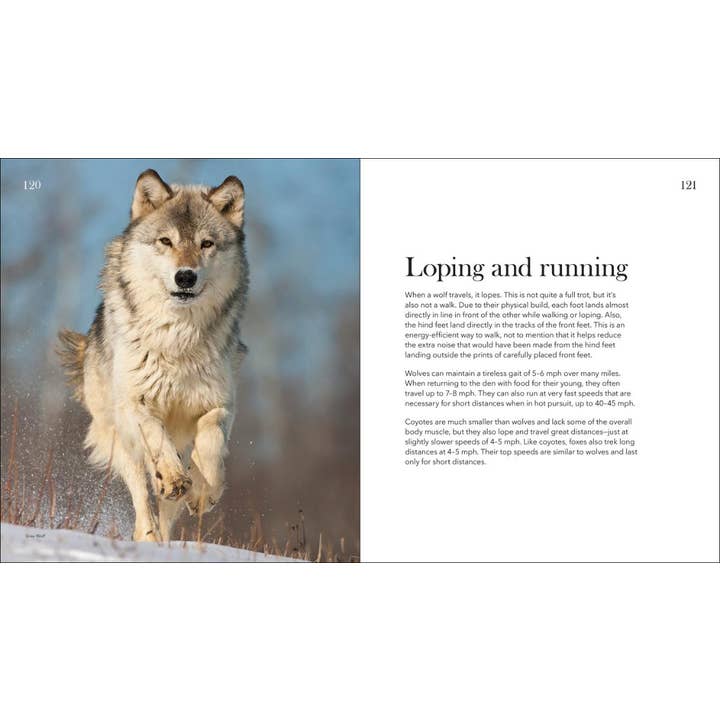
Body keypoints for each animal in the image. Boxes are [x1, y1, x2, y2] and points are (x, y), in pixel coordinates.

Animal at [57, 169, 249, 541]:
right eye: (166, 241)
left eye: (206, 244)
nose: (185, 276)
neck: (177, 339)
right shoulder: (136, 401)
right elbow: (156, 438)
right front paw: (172, 477)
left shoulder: (221, 404)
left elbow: (211, 444)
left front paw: (204, 493)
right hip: (120, 440)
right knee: (142, 493)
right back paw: (149, 535)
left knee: (170, 502)